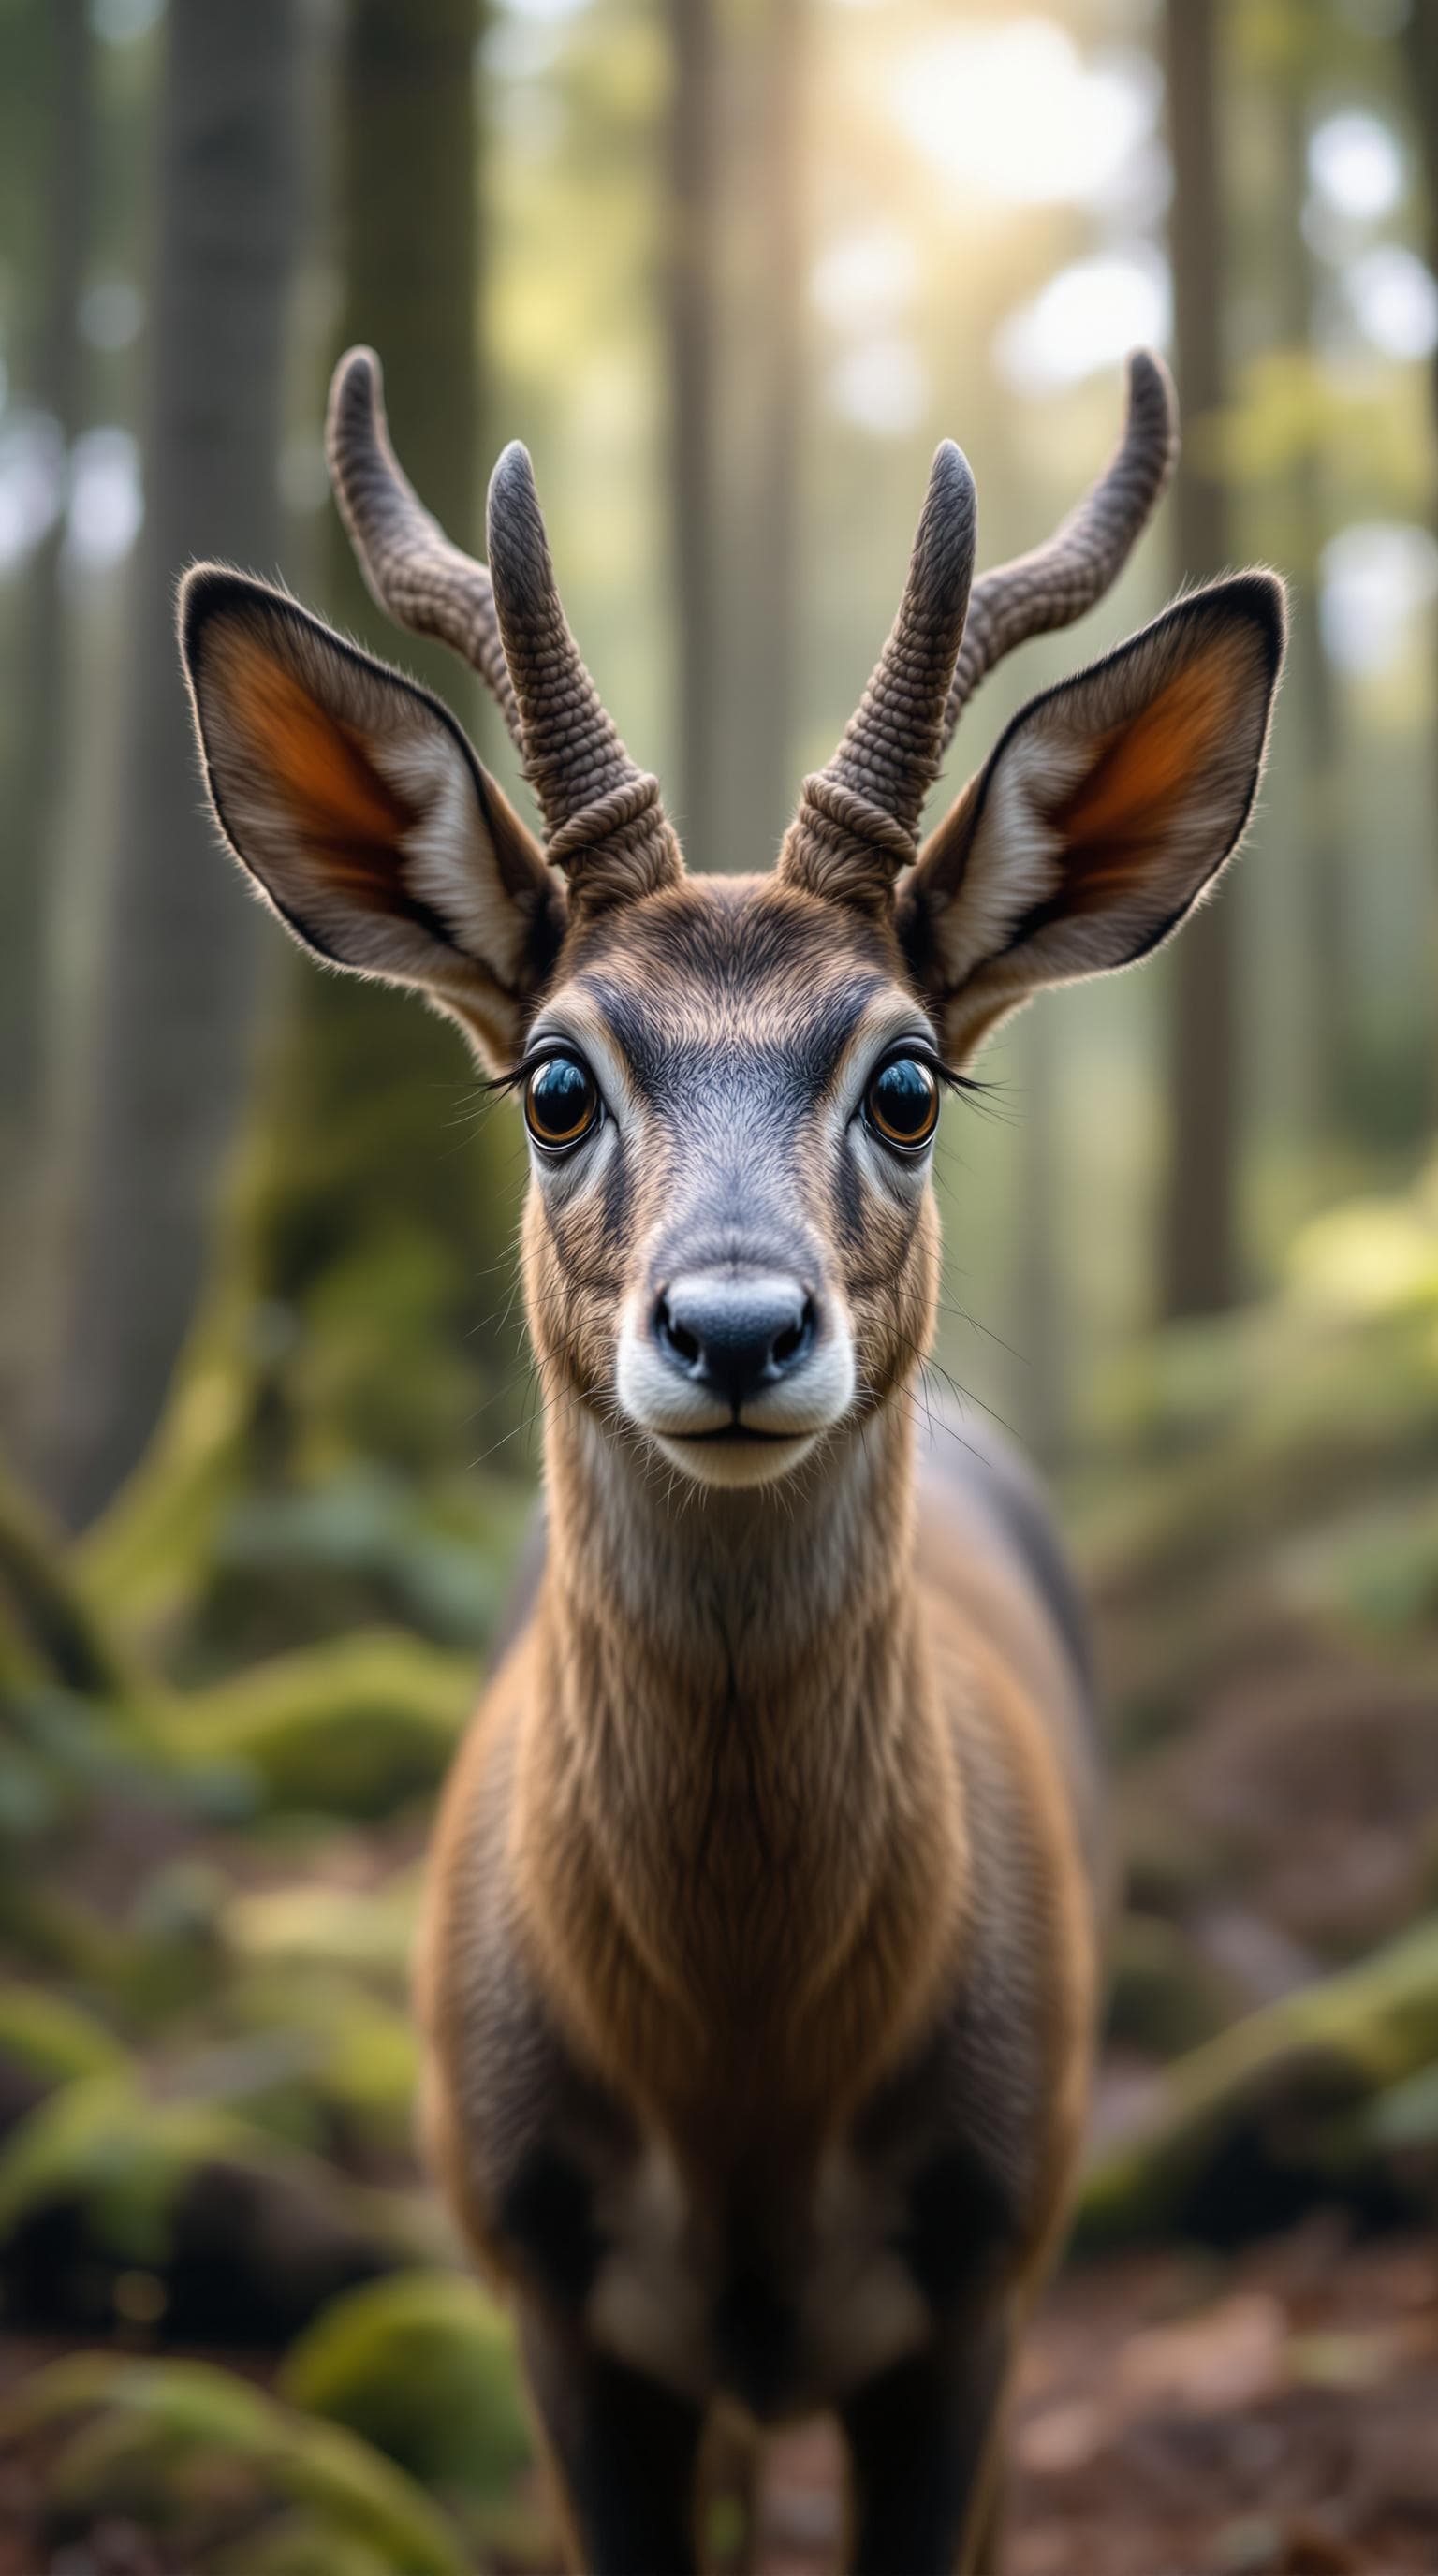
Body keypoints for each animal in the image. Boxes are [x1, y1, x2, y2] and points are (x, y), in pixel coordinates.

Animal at [179, 343, 1283, 2575]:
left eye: (908, 1078)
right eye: (555, 1079)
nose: (742, 1325)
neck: (747, 2090)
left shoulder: (981, 2274)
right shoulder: (542, 2282)